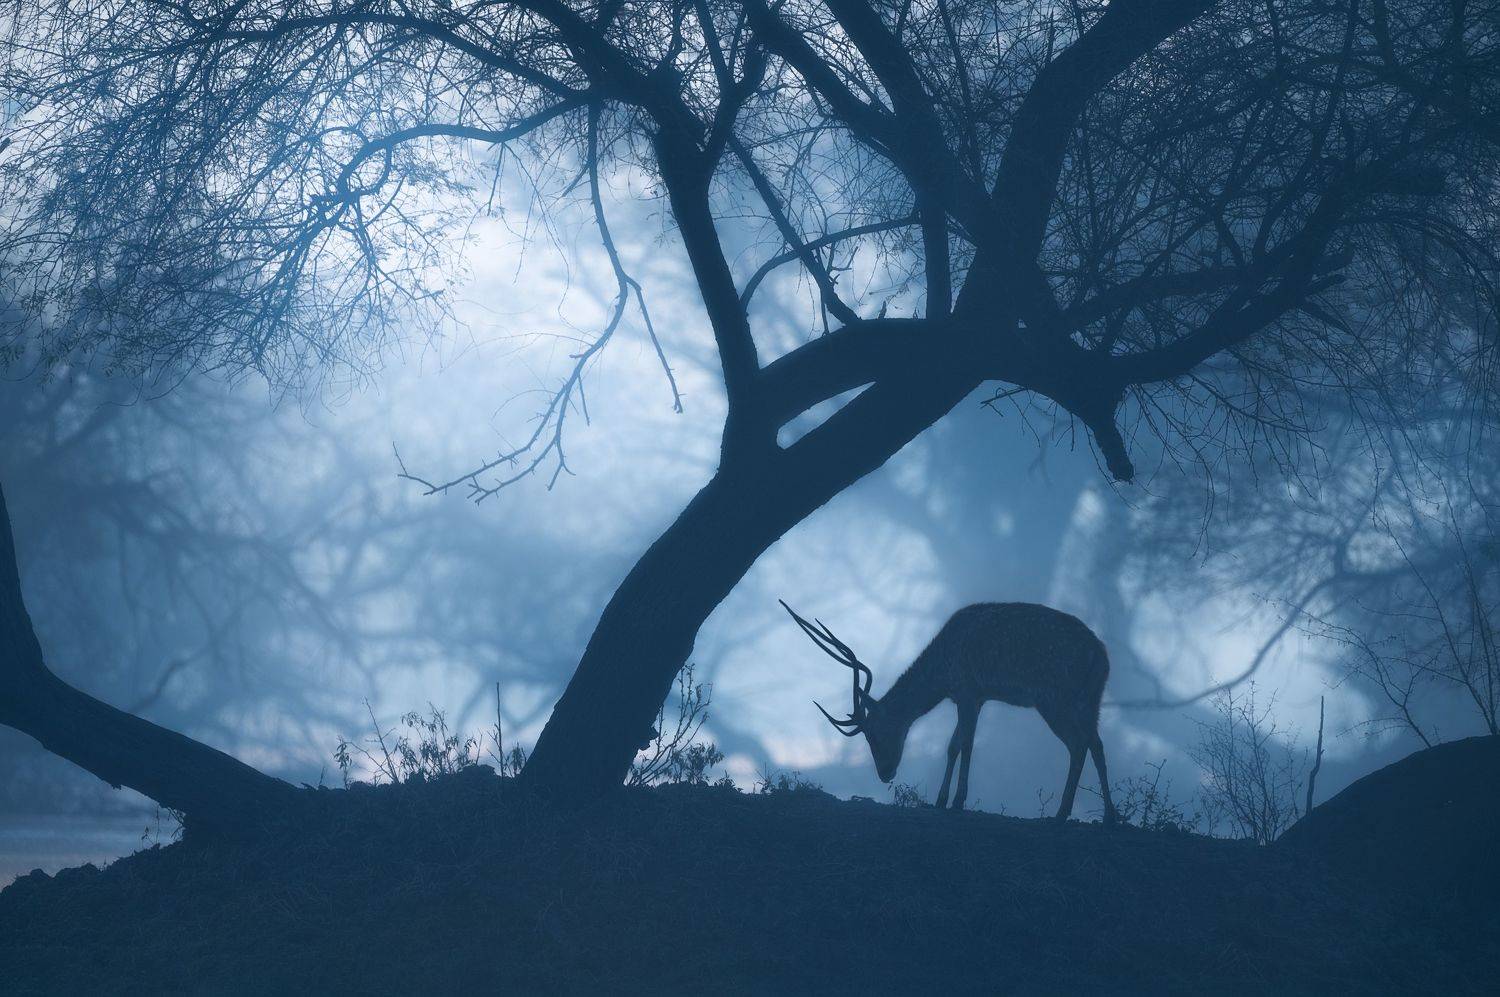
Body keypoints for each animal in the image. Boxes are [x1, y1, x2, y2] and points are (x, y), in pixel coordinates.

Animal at [782, 600, 1117, 825]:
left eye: (873, 735)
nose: (885, 774)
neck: (942, 673)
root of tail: (1102, 655)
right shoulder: (973, 697)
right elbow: (954, 746)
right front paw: (940, 801)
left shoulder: (968, 689)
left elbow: (964, 745)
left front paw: (956, 801)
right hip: (1089, 699)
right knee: (1095, 744)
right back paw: (1108, 816)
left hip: (1055, 697)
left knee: (1079, 744)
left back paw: (1063, 813)